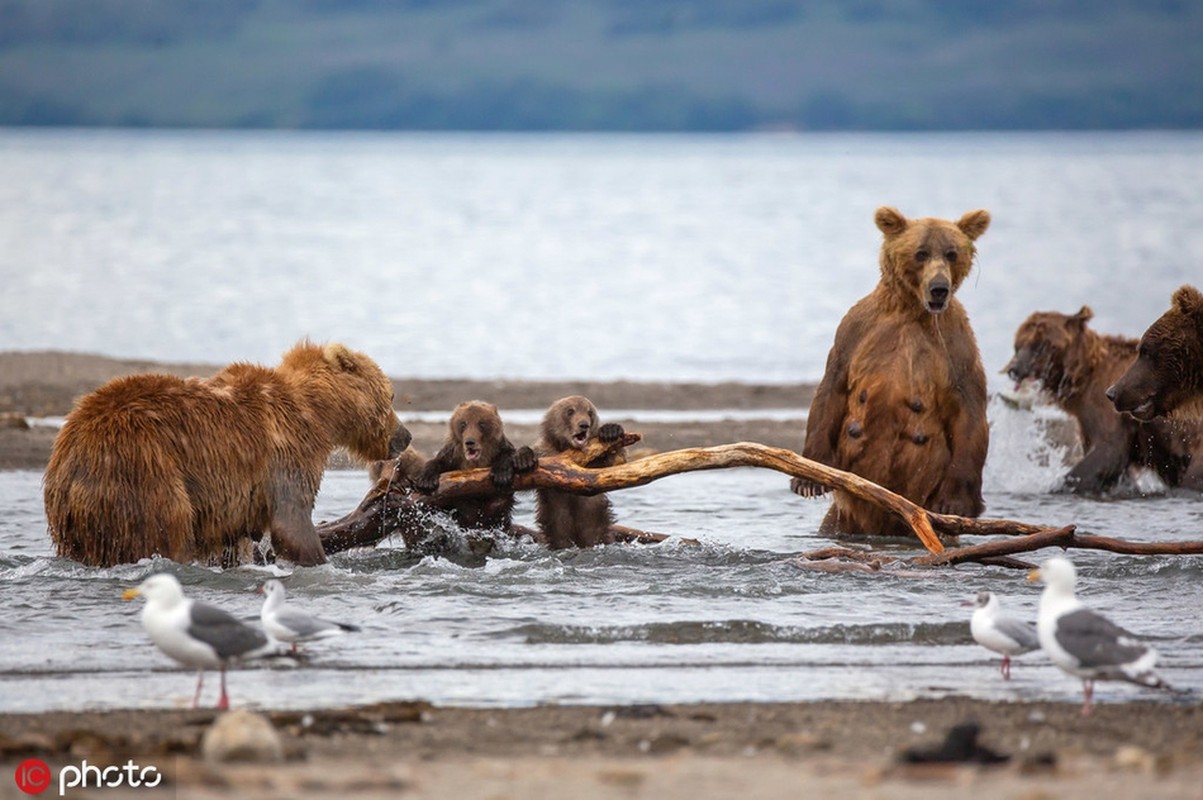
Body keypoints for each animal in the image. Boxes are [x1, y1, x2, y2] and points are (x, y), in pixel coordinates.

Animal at [416, 399, 534, 529]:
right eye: (463, 423)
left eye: (481, 424)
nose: (470, 442)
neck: (475, 463)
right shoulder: (452, 456)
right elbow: (438, 462)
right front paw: (426, 481)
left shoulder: (500, 448)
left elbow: (507, 455)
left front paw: (502, 474)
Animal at [536, 394, 630, 548]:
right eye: (570, 411)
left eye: (589, 412)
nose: (584, 425)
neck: (566, 450)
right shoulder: (545, 452)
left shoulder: (595, 462)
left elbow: (617, 460)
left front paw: (611, 430)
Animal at [793, 204, 991, 536]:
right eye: (921, 253)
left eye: (951, 253)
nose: (939, 289)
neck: (911, 310)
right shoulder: (856, 331)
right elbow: (832, 388)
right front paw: (808, 479)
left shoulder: (956, 346)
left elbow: (969, 410)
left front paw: (957, 502)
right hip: (845, 517)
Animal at [1005, 305, 1203, 493]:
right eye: (1018, 345)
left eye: (1040, 345)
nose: (1015, 369)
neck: (1082, 378)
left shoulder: (1108, 409)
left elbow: (1108, 450)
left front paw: (1059, 484)